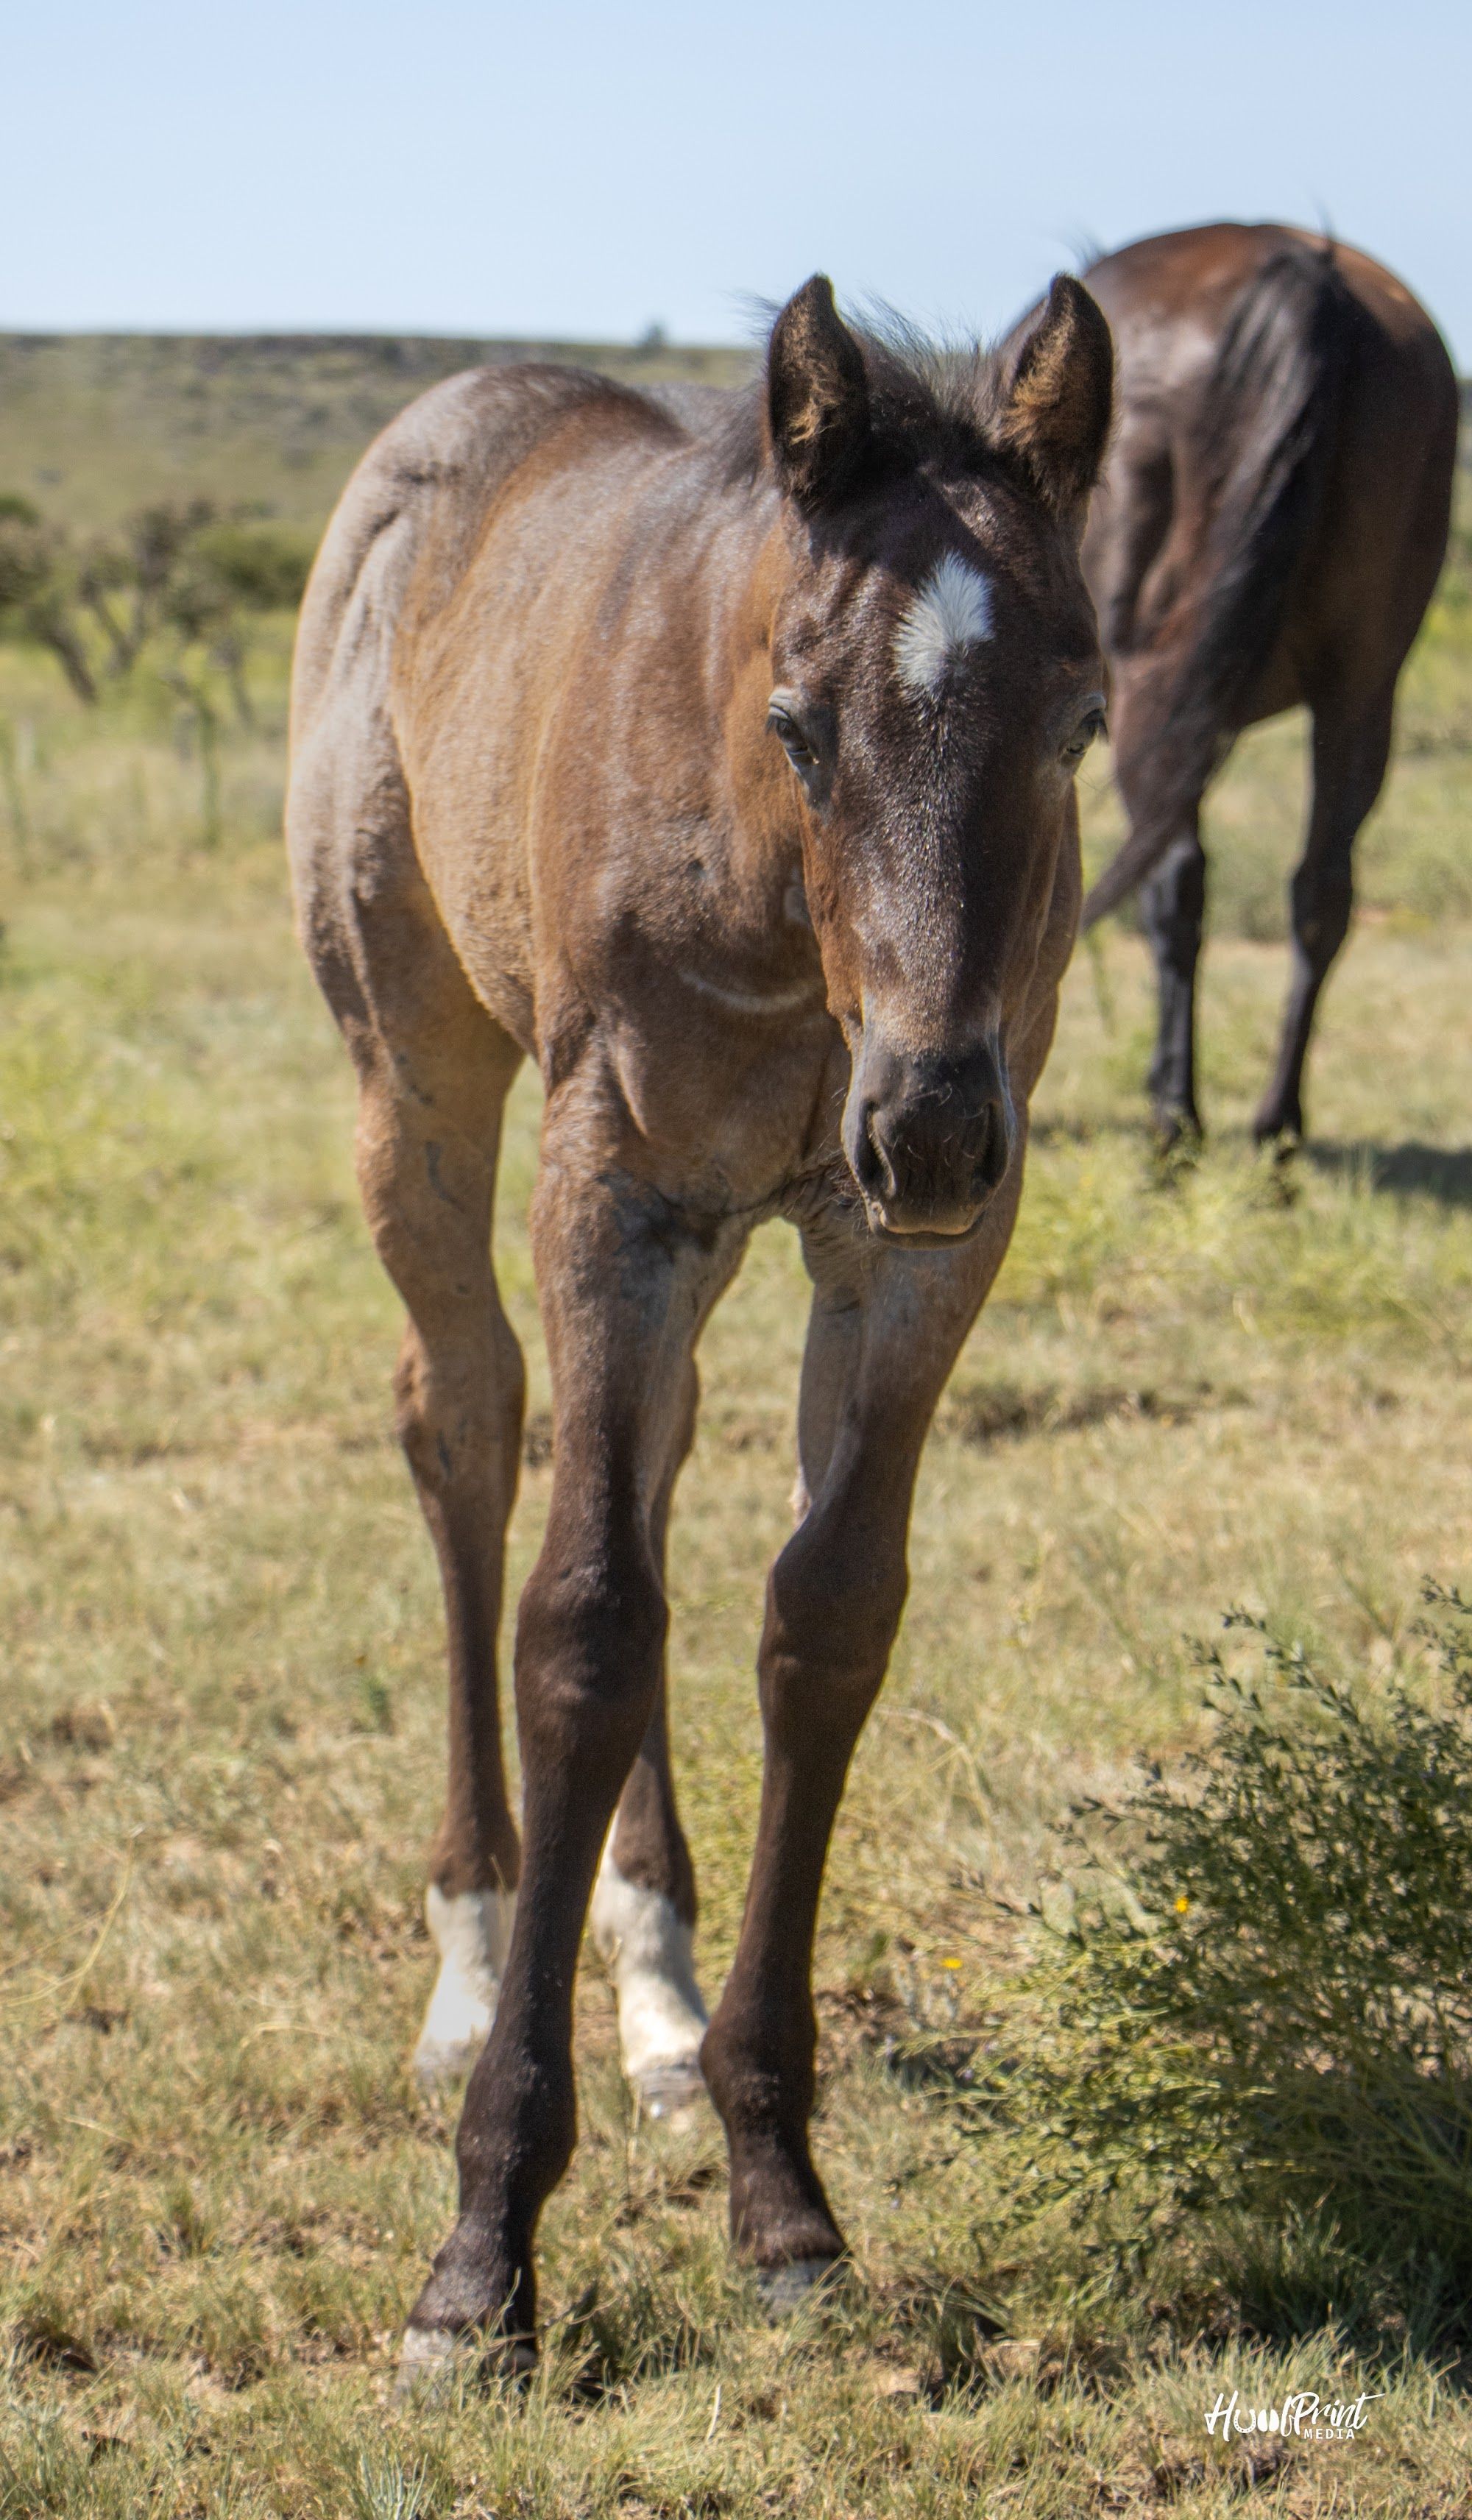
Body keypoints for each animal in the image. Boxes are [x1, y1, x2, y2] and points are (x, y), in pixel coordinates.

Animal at [286, 270, 1112, 2368]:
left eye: (1081, 721)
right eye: (796, 725)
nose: (928, 1121)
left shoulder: (907, 1247)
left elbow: (820, 1620)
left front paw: (775, 2181)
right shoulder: (616, 1190)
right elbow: (579, 1628)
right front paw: (482, 2250)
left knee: (638, 1475)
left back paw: (649, 1997)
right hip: (408, 1078)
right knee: (468, 1428)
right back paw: (472, 1959)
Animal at [1069, 222, 1457, 1146]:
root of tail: (1298, 273)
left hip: (1152, 684)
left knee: (1174, 878)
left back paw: (1175, 1117)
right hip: (1361, 690)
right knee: (1321, 889)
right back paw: (1276, 1126)